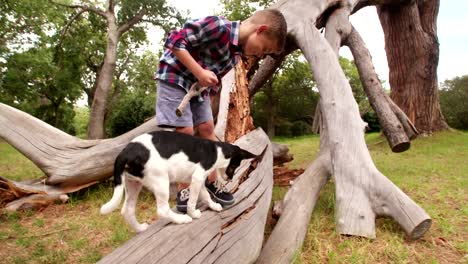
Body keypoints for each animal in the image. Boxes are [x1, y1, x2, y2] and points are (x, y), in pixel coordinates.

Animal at [98, 131, 256, 232]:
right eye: (235, 165)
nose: (230, 178)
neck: (217, 151)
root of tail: (126, 152)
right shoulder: (197, 177)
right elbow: (193, 200)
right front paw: (193, 214)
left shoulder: (197, 180)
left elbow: (205, 195)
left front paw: (213, 206)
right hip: (161, 181)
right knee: (162, 210)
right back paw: (182, 219)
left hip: (133, 183)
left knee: (127, 210)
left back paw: (140, 228)